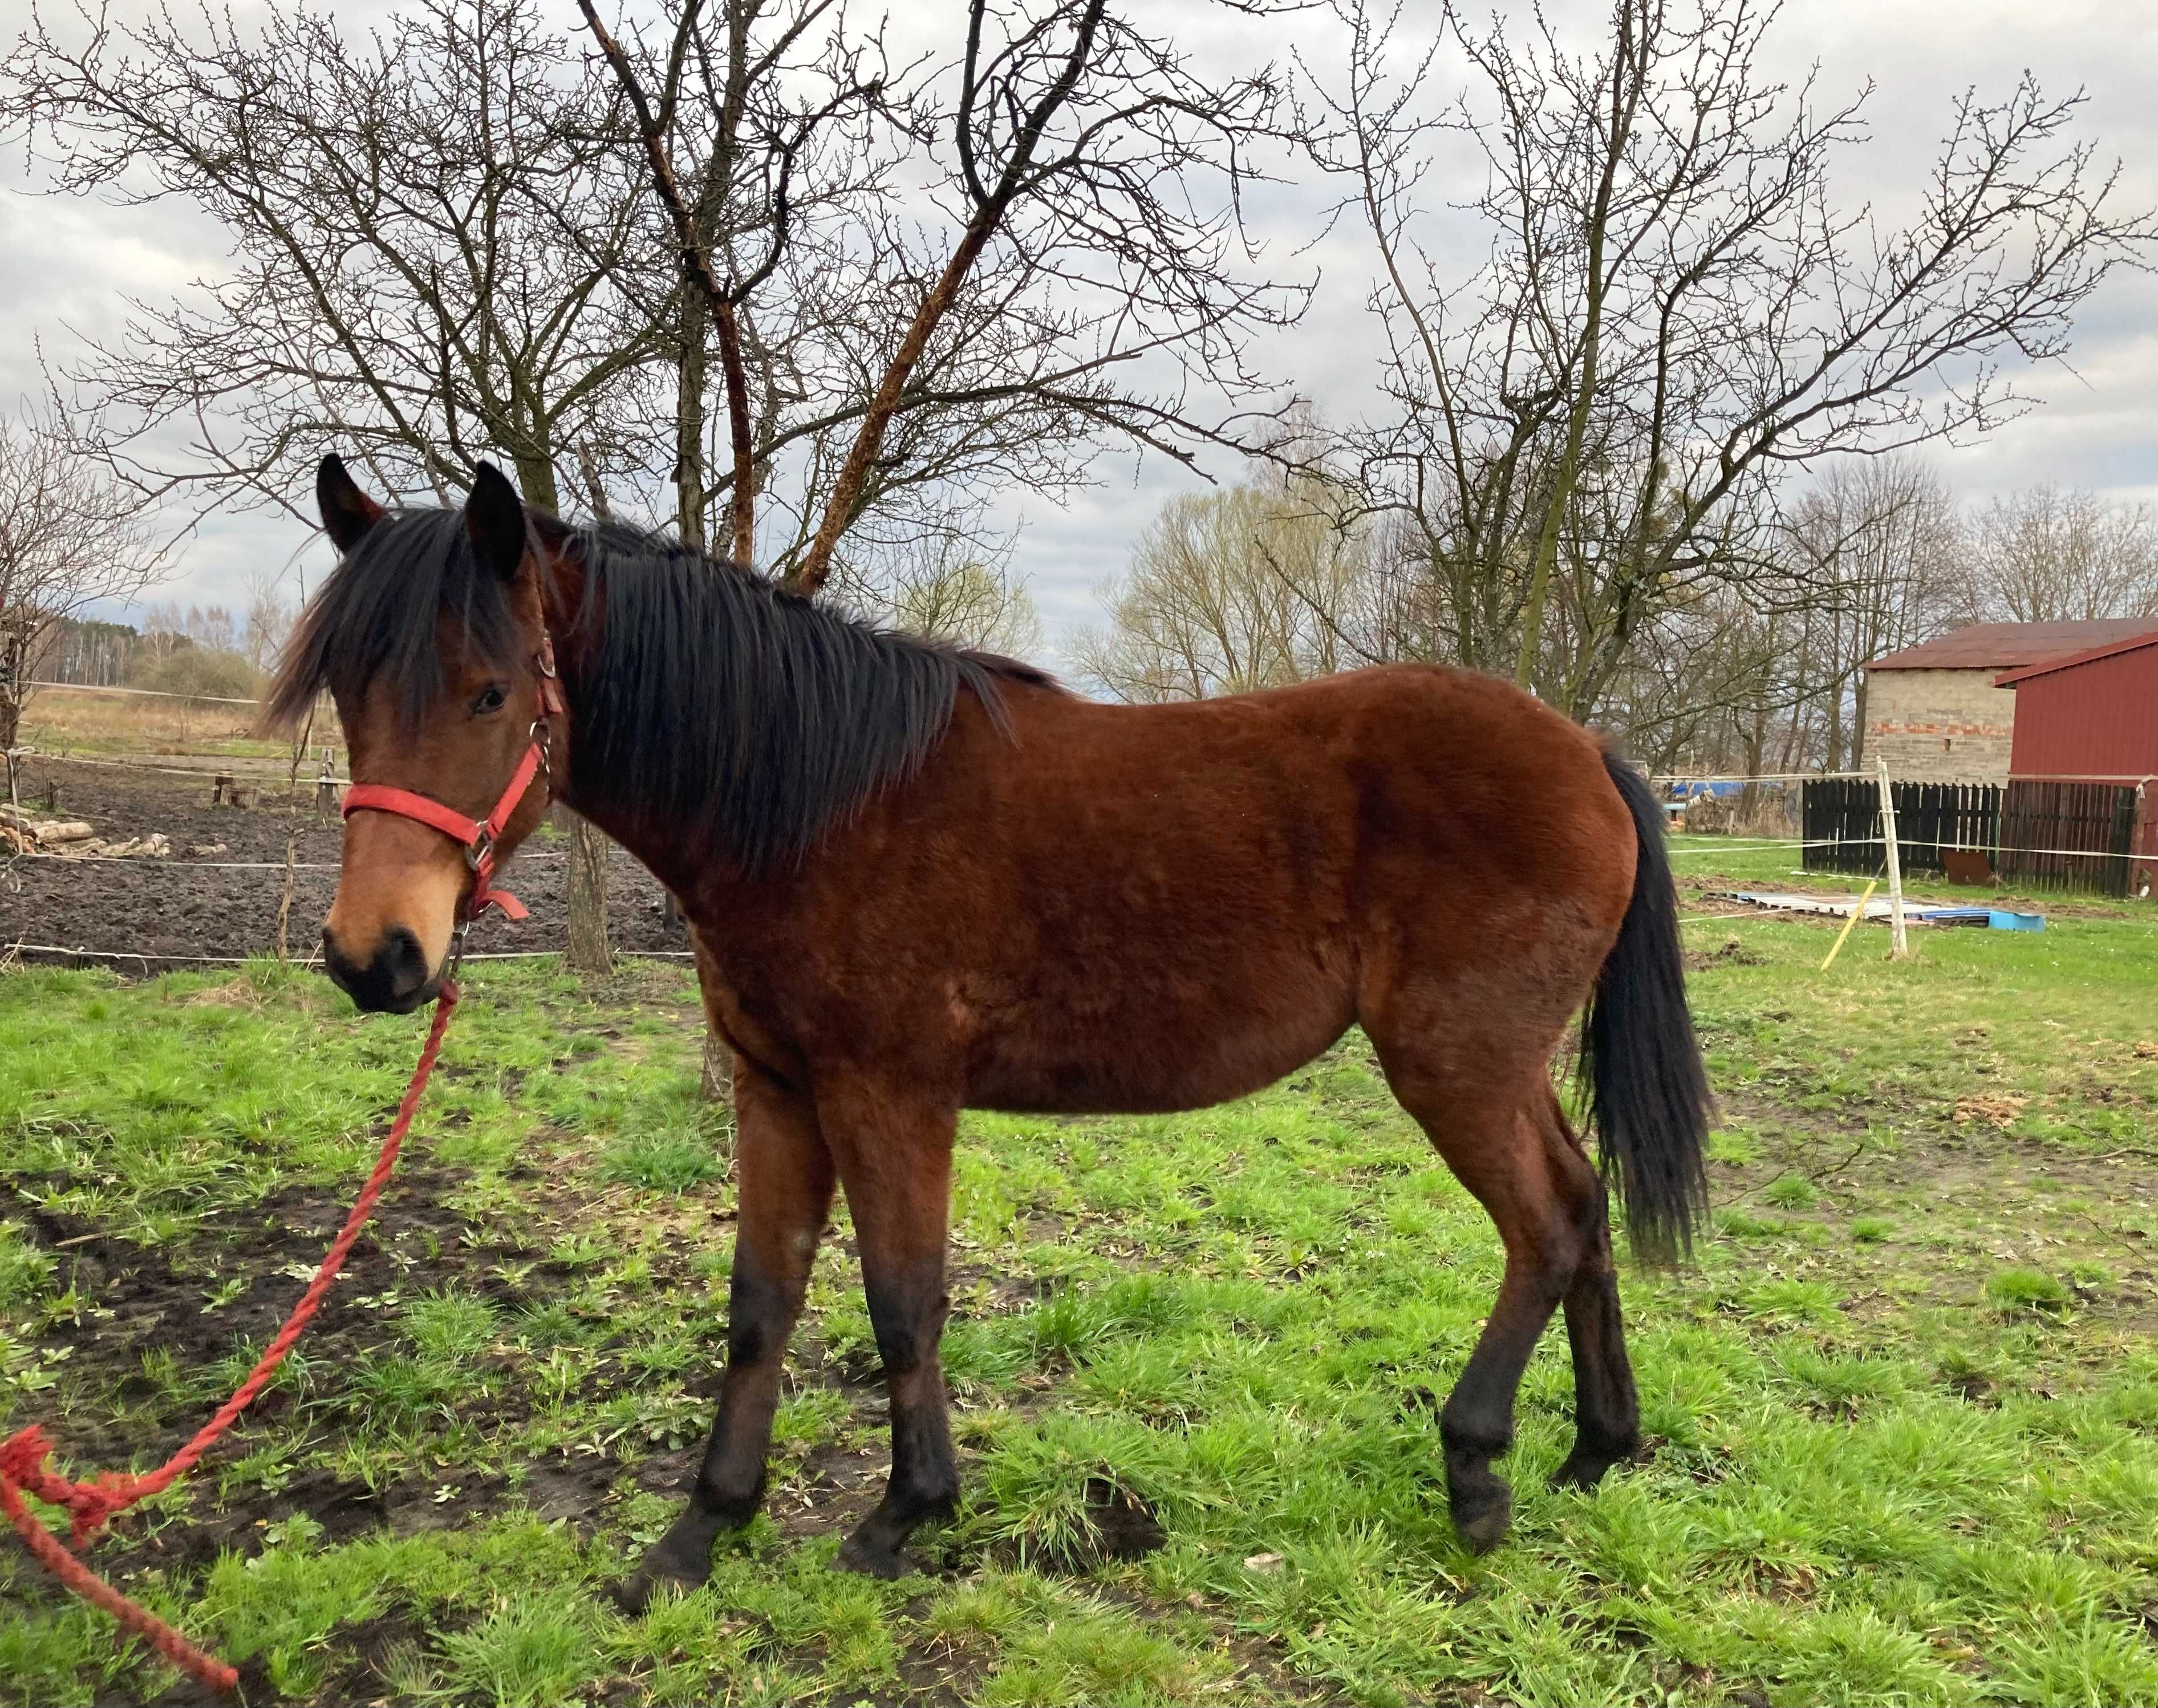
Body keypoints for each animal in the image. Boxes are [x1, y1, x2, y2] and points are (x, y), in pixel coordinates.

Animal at [270, 453, 1709, 1606]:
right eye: (346, 689)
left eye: (488, 691)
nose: (373, 957)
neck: (808, 801)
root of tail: (1586, 750)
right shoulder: (774, 1088)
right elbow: (760, 1302)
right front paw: (700, 1530)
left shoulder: (888, 1091)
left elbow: (902, 1301)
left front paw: (904, 1514)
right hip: (1499, 1066)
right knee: (1580, 1205)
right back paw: (1595, 1448)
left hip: (1454, 1063)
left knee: (1544, 1224)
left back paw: (1476, 1466)